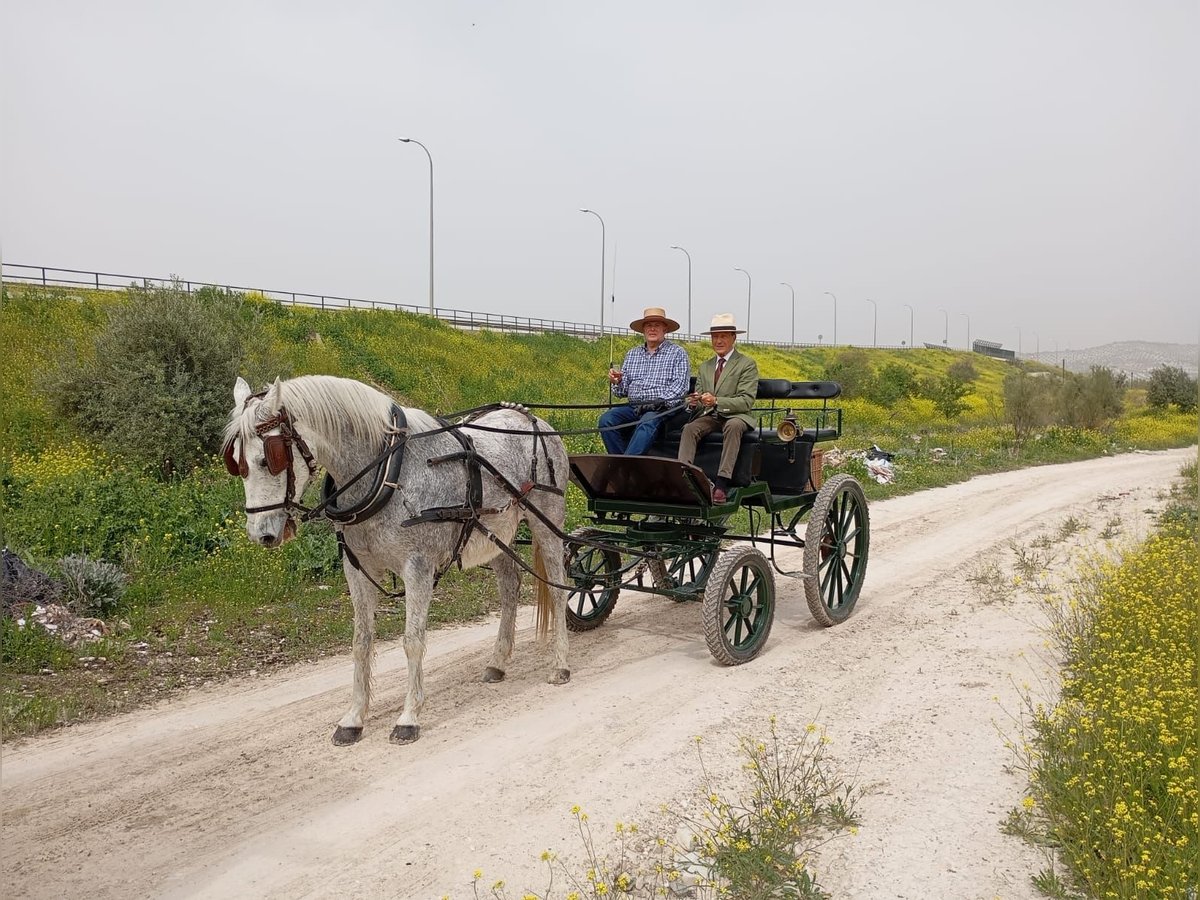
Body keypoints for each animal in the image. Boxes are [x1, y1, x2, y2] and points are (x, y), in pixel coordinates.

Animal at [225, 374, 571, 748]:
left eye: (268, 459)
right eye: (237, 463)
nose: (261, 534)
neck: (387, 472)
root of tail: (534, 421)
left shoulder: (417, 568)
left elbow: (412, 640)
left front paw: (408, 717)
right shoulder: (357, 570)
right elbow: (361, 643)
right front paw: (353, 719)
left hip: (547, 522)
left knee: (559, 590)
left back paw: (560, 664)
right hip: (495, 536)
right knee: (510, 588)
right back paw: (498, 662)